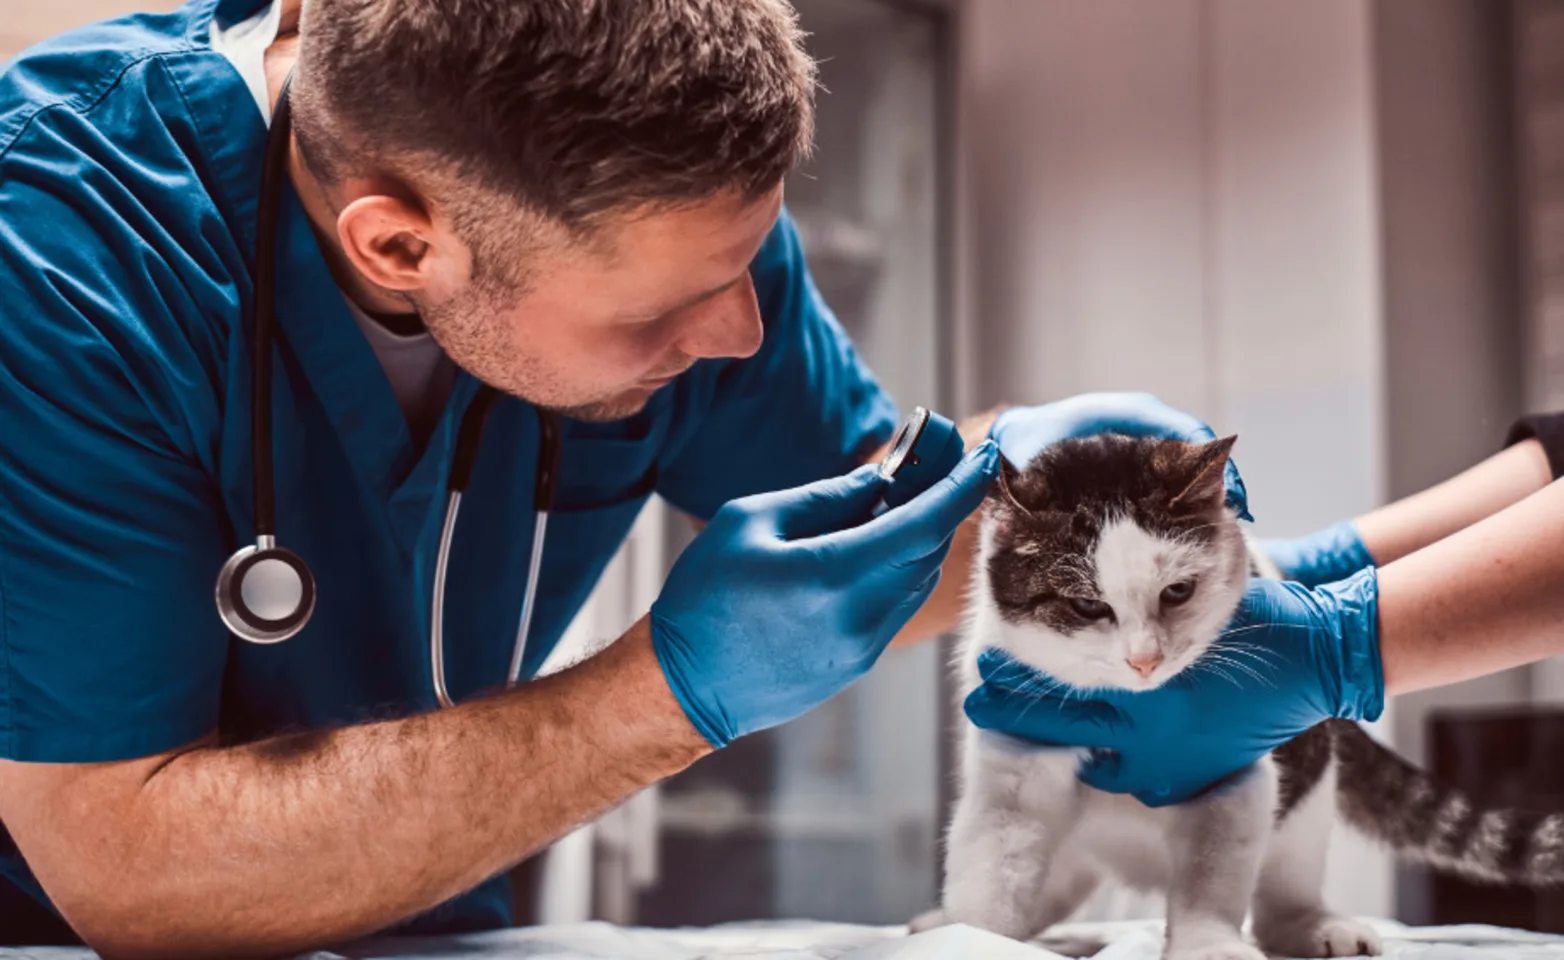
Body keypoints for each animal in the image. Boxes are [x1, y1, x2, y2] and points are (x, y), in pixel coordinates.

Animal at [913, 437, 1564, 960]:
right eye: (1087, 605)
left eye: (1177, 591)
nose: (1145, 659)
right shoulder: (1013, 767)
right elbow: (991, 873)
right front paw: (970, 937)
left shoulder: (1233, 775)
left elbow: (1210, 878)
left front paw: (1209, 946)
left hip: (1307, 788)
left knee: (1284, 883)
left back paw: (1313, 926)